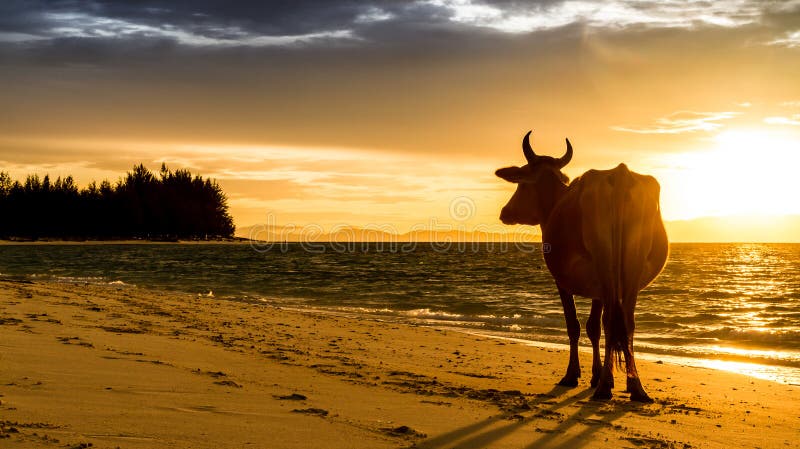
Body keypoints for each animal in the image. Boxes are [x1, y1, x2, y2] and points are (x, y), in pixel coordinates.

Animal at [494, 131, 668, 400]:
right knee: (625, 322)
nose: (505, 212)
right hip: (630, 269)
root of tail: (619, 173)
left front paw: (574, 375)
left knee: (611, 322)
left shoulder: (562, 281)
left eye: (521, 183)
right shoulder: (598, 289)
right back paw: (635, 386)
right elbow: (594, 326)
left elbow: (575, 325)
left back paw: (606, 386)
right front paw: (598, 375)